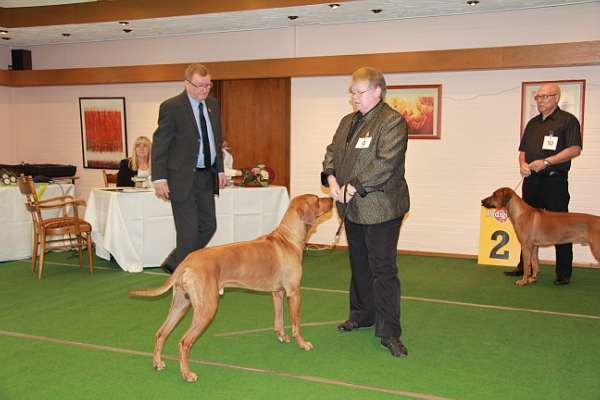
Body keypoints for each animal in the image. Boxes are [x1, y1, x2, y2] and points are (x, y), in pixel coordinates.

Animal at [128, 194, 333, 382]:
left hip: (181, 303)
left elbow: (279, 319)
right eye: (317, 200)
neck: (288, 238)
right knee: (184, 342)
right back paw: (187, 373)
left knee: (161, 333)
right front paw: (303, 344)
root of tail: (188, 260)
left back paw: (157, 362)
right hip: (206, 309)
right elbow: (296, 324)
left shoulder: (278, 293)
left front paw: (282, 336)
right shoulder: (293, 293)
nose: (332, 198)